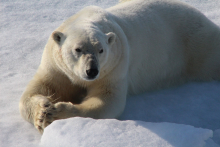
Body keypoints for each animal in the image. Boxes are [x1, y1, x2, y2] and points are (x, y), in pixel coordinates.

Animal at [19, 0, 220, 133]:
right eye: (78, 49)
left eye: (101, 50)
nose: (91, 71)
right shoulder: (56, 67)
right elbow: (41, 89)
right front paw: (42, 111)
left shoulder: (114, 67)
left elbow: (107, 100)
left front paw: (57, 113)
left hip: (198, 46)